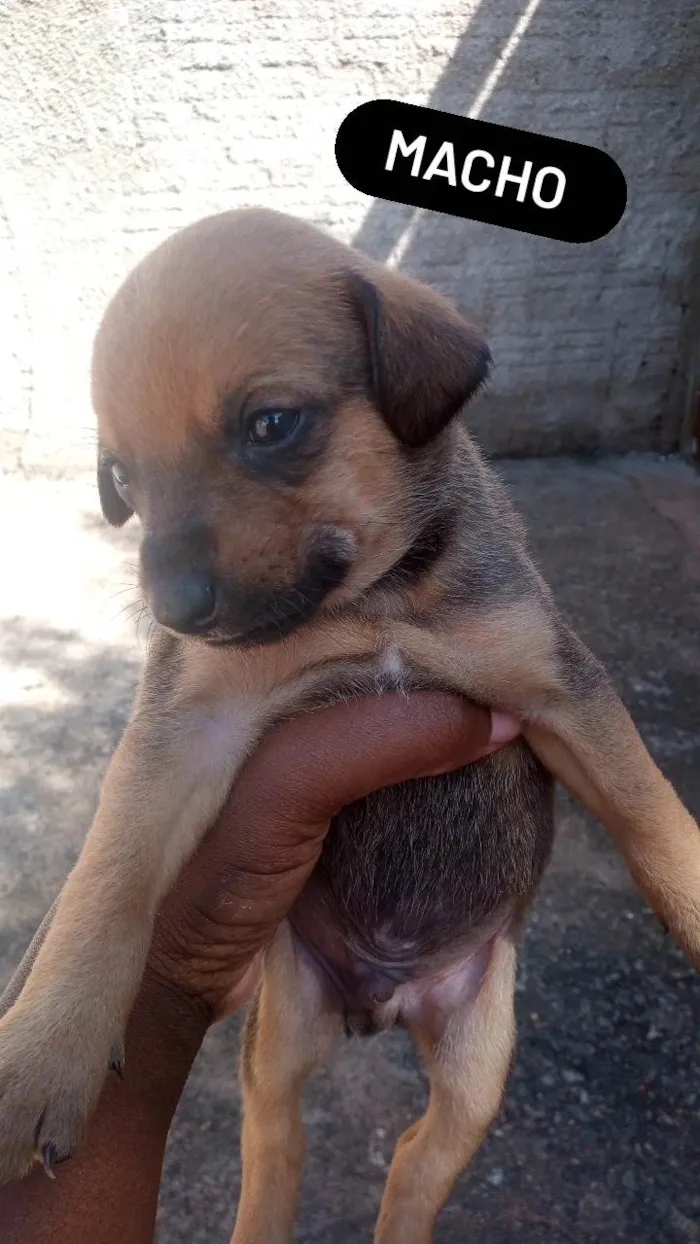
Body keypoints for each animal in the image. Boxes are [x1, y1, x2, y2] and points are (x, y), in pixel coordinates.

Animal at [1, 208, 700, 1239]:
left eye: (271, 425)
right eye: (121, 477)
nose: (170, 611)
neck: (370, 608)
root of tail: (385, 998)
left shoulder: (556, 688)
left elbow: (650, 814)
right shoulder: (190, 723)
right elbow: (108, 878)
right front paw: (44, 1051)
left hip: (480, 1051)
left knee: (416, 1159)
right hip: (283, 1017)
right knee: (276, 1137)